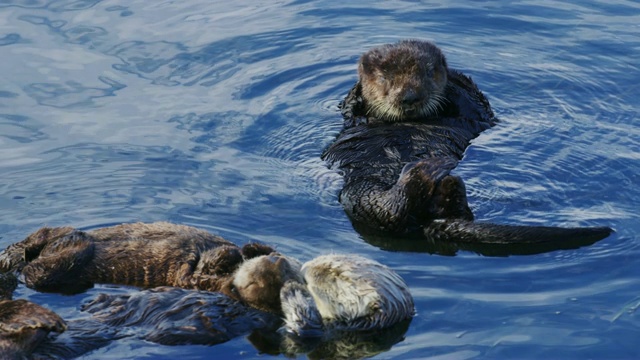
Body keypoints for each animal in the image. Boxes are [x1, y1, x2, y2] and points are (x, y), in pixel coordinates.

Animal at [0, 222, 272, 296]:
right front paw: (252, 248)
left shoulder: (194, 280)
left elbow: (201, 273)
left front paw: (235, 253)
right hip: (50, 240)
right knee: (39, 238)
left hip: (49, 273)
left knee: (36, 268)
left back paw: (78, 241)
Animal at [322, 40, 612, 253]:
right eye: (384, 78)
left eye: (427, 72)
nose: (409, 97)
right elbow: (348, 110)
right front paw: (356, 98)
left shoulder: (477, 108)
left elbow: (470, 99)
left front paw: (452, 85)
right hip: (356, 194)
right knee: (390, 214)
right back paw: (428, 171)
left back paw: (442, 179)